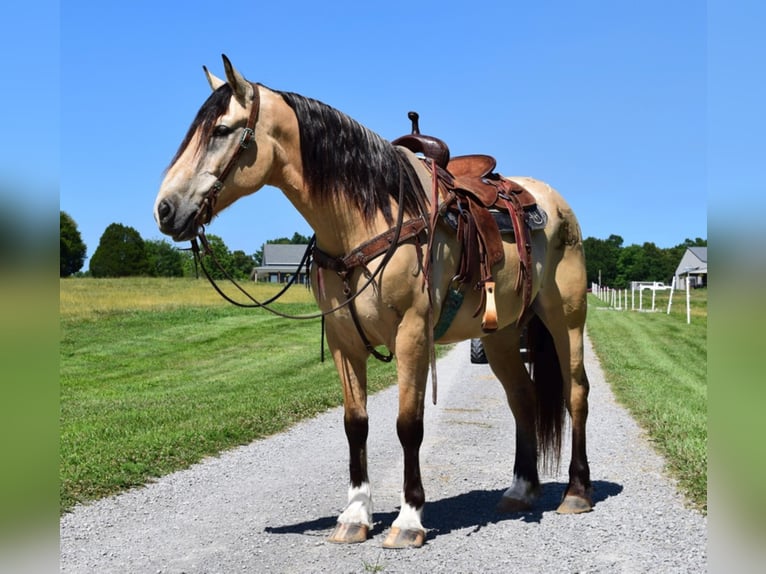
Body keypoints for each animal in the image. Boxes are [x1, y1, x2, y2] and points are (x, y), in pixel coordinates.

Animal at [152, 56, 592, 552]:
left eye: (223, 129)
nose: (164, 209)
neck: (367, 218)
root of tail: (554, 203)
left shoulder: (413, 333)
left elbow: (408, 425)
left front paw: (409, 520)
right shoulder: (343, 342)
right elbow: (355, 424)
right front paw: (355, 516)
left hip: (565, 319)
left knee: (576, 393)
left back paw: (576, 492)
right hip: (500, 335)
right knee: (523, 398)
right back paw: (521, 490)